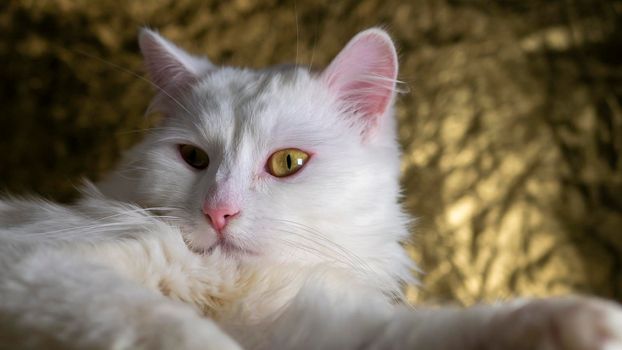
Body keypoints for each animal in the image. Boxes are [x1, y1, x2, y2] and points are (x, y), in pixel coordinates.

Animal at [1, 28, 622, 350]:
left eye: (287, 163)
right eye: (194, 158)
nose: (219, 212)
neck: (228, 287)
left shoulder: (310, 323)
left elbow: (448, 331)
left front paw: (583, 326)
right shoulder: (42, 267)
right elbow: (168, 328)